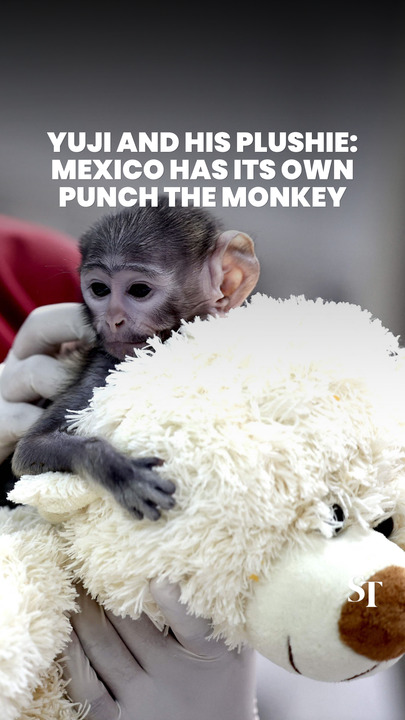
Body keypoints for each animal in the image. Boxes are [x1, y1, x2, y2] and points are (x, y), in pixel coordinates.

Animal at [10, 199, 260, 520]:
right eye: (100, 289)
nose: (113, 319)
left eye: (139, 290)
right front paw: (120, 471)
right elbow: (29, 449)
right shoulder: (101, 369)